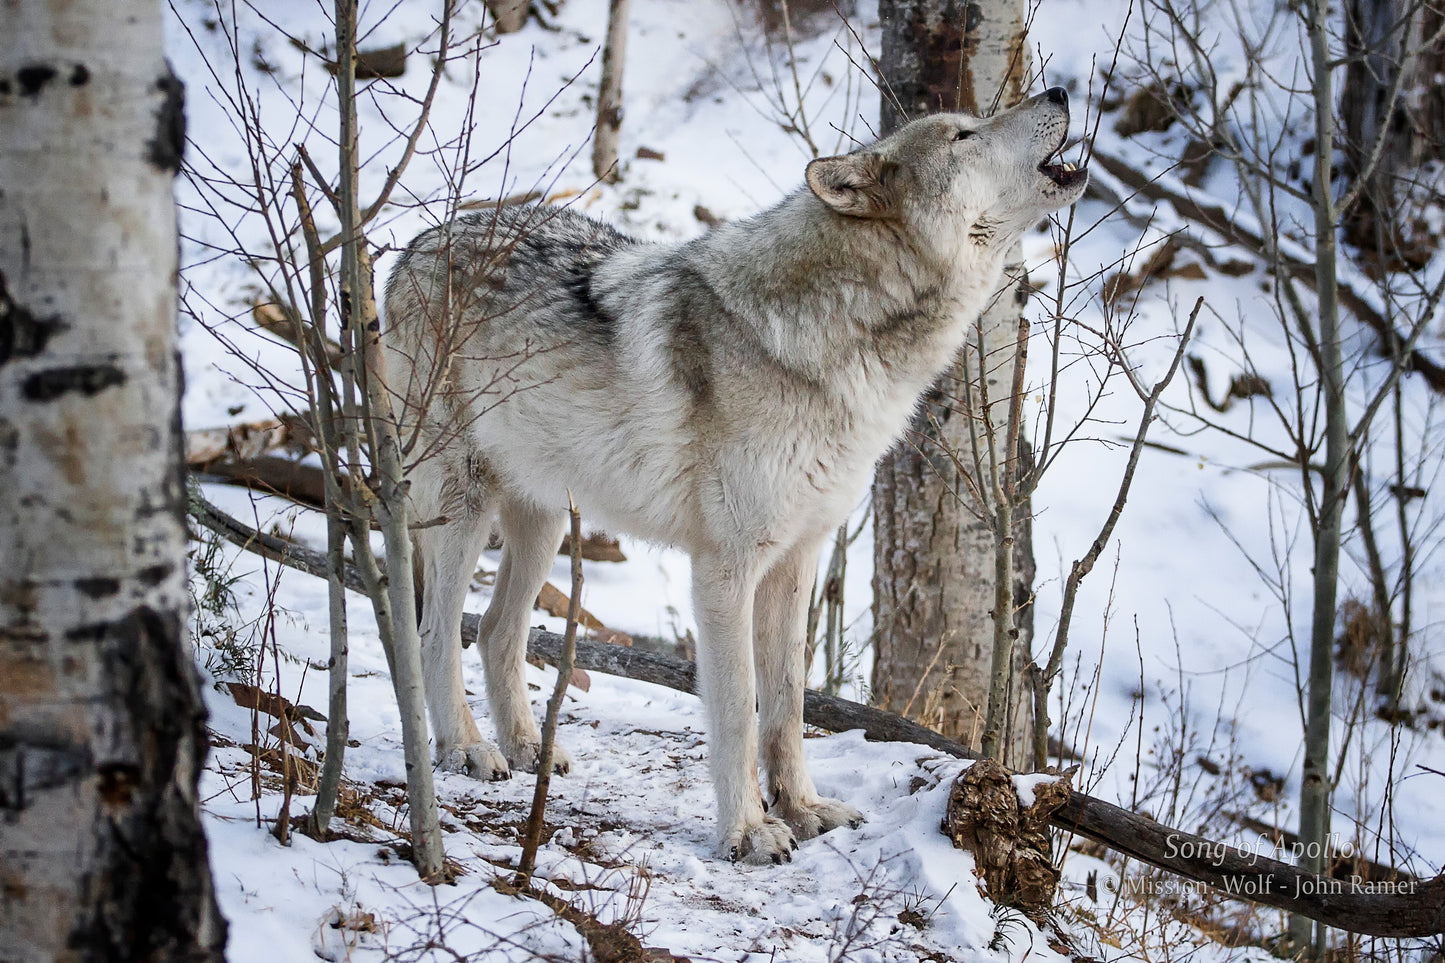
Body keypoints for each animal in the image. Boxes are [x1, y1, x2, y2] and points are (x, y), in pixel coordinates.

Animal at [384, 84, 1086, 861]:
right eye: (963, 135)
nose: (1058, 90)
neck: (843, 343)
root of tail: (414, 244)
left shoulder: (797, 559)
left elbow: (785, 705)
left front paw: (802, 809)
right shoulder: (725, 567)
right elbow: (738, 711)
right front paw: (747, 830)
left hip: (542, 523)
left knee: (495, 632)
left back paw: (531, 747)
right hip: (463, 507)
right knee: (433, 633)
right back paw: (465, 749)